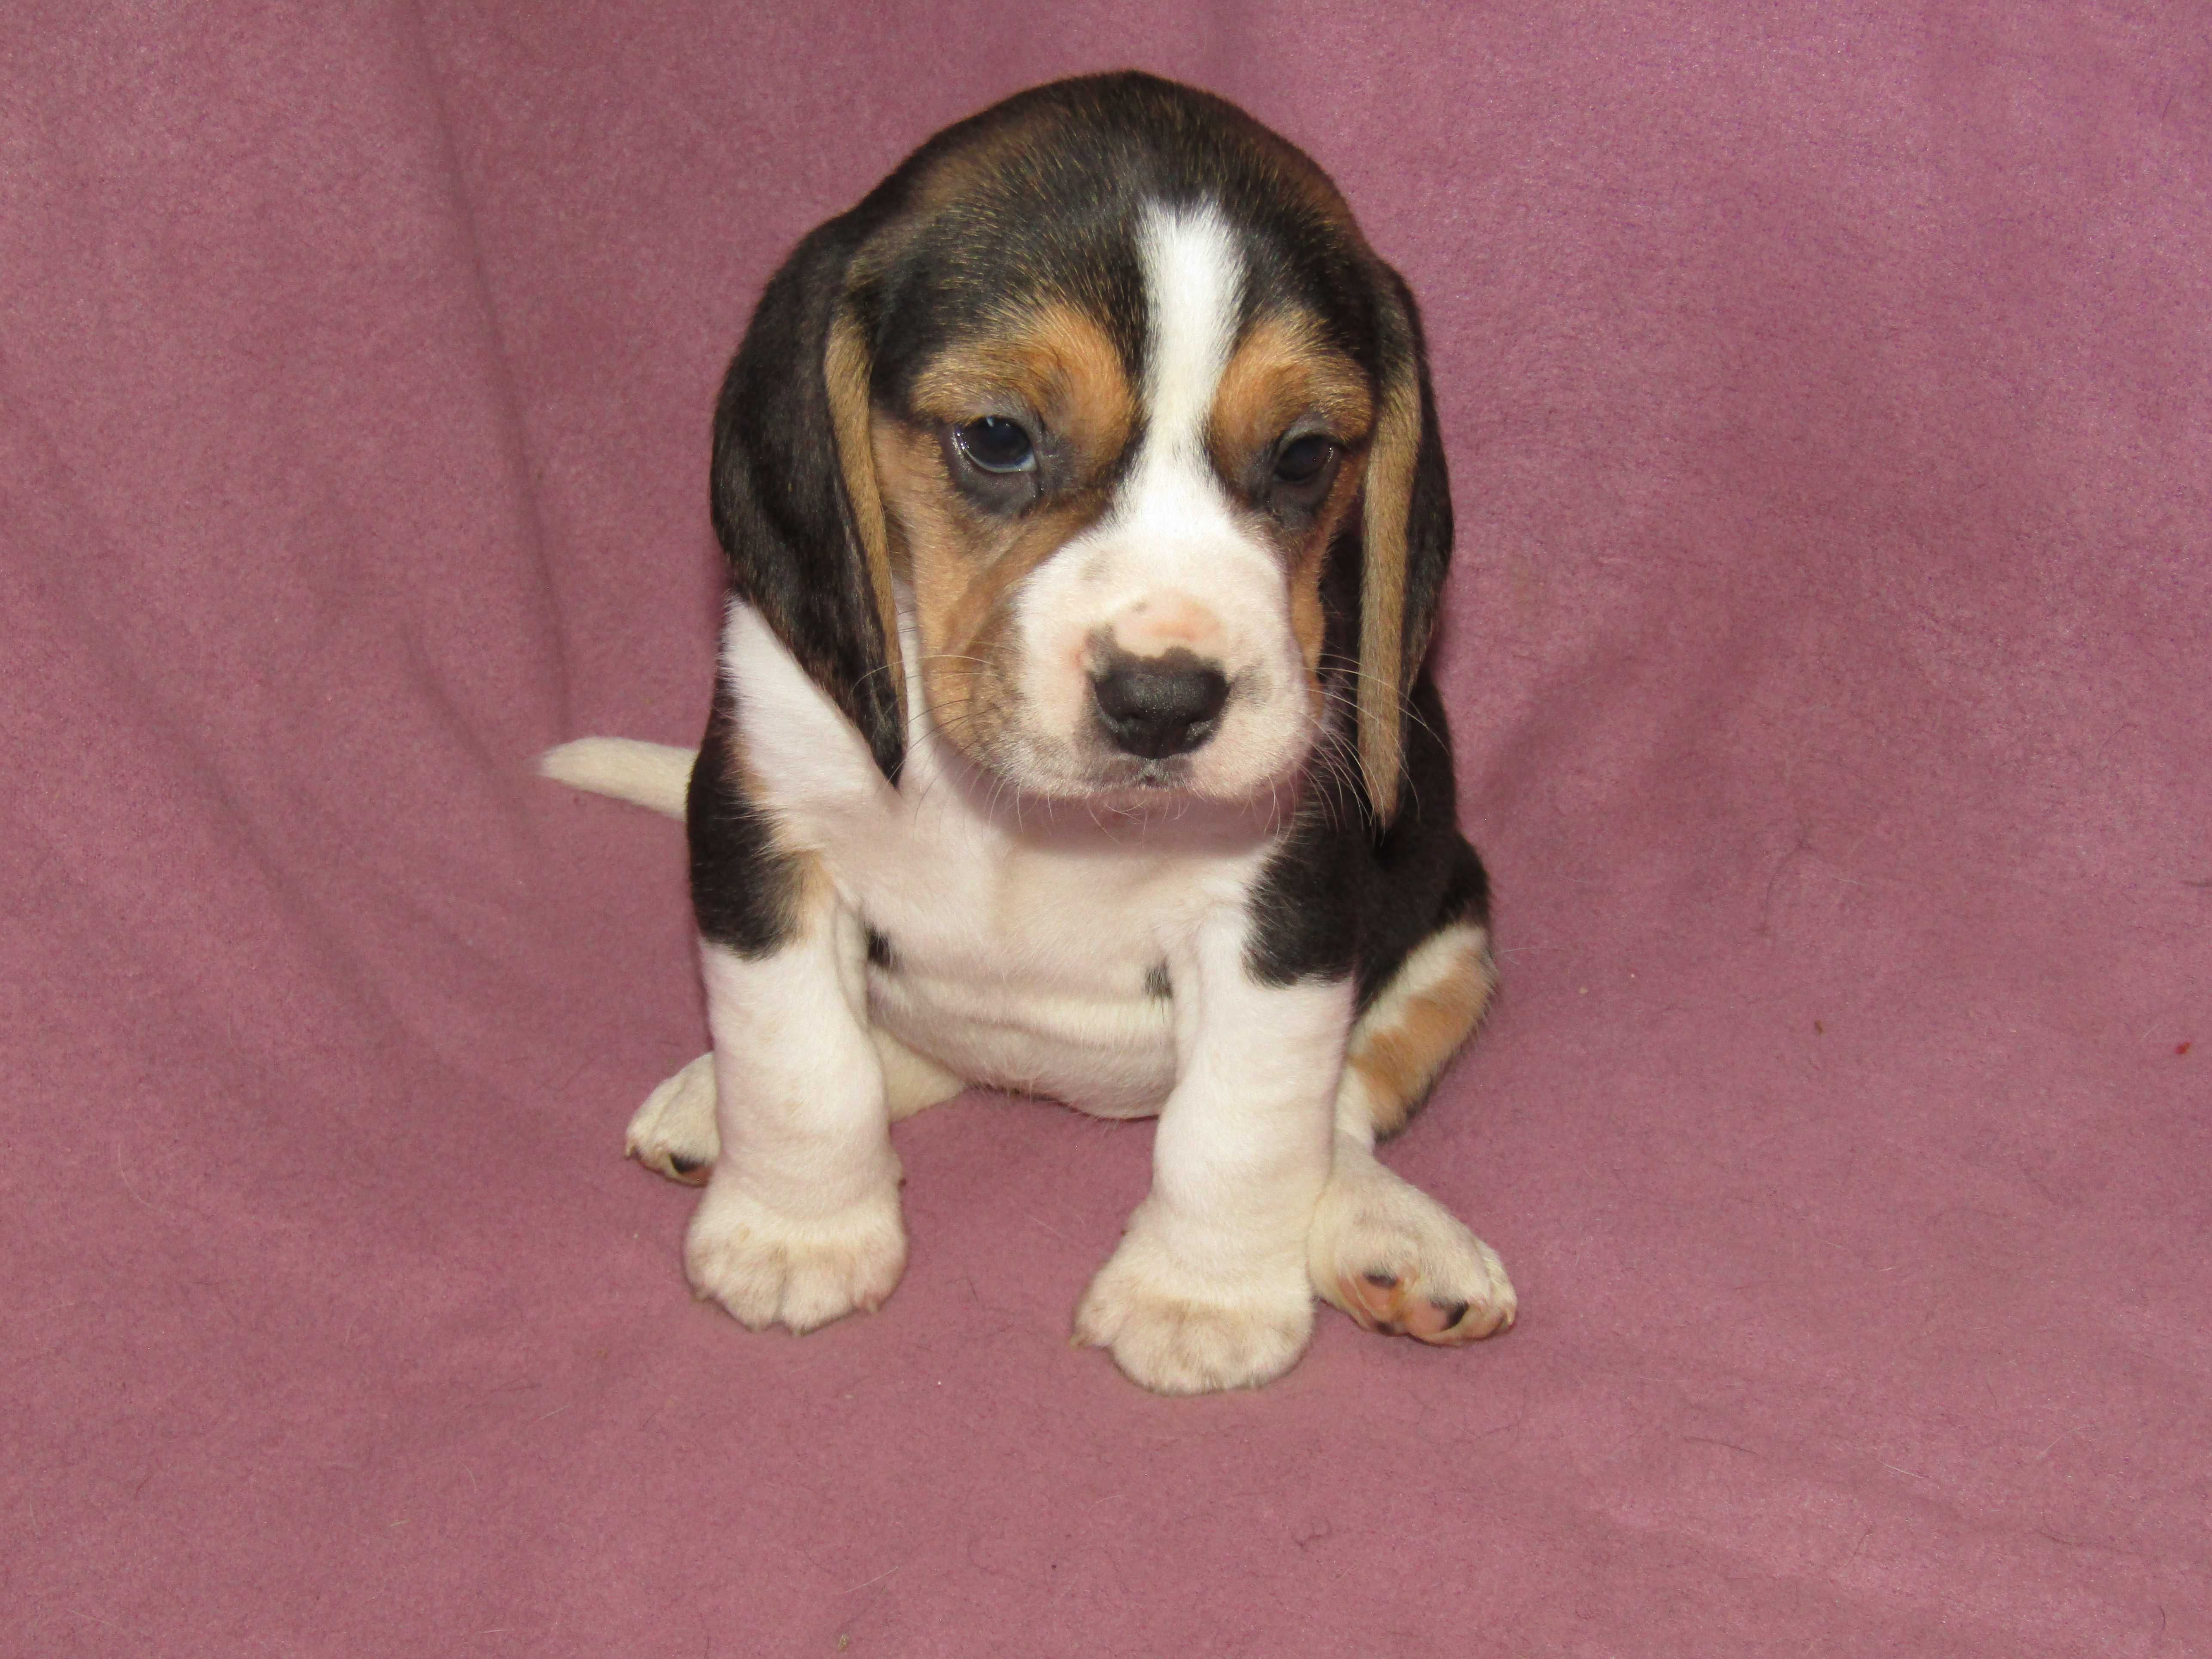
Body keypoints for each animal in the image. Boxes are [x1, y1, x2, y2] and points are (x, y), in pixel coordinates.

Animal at [550, 71, 1513, 1398]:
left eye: (1307, 456)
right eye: (999, 437)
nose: (1165, 701)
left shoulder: (1287, 917)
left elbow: (1241, 1128)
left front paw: (1200, 1302)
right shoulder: (760, 834)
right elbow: (801, 1064)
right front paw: (797, 1233)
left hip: (1456, 935)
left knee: (1349, 1112)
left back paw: (1391, 1234)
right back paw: (711, 1106)